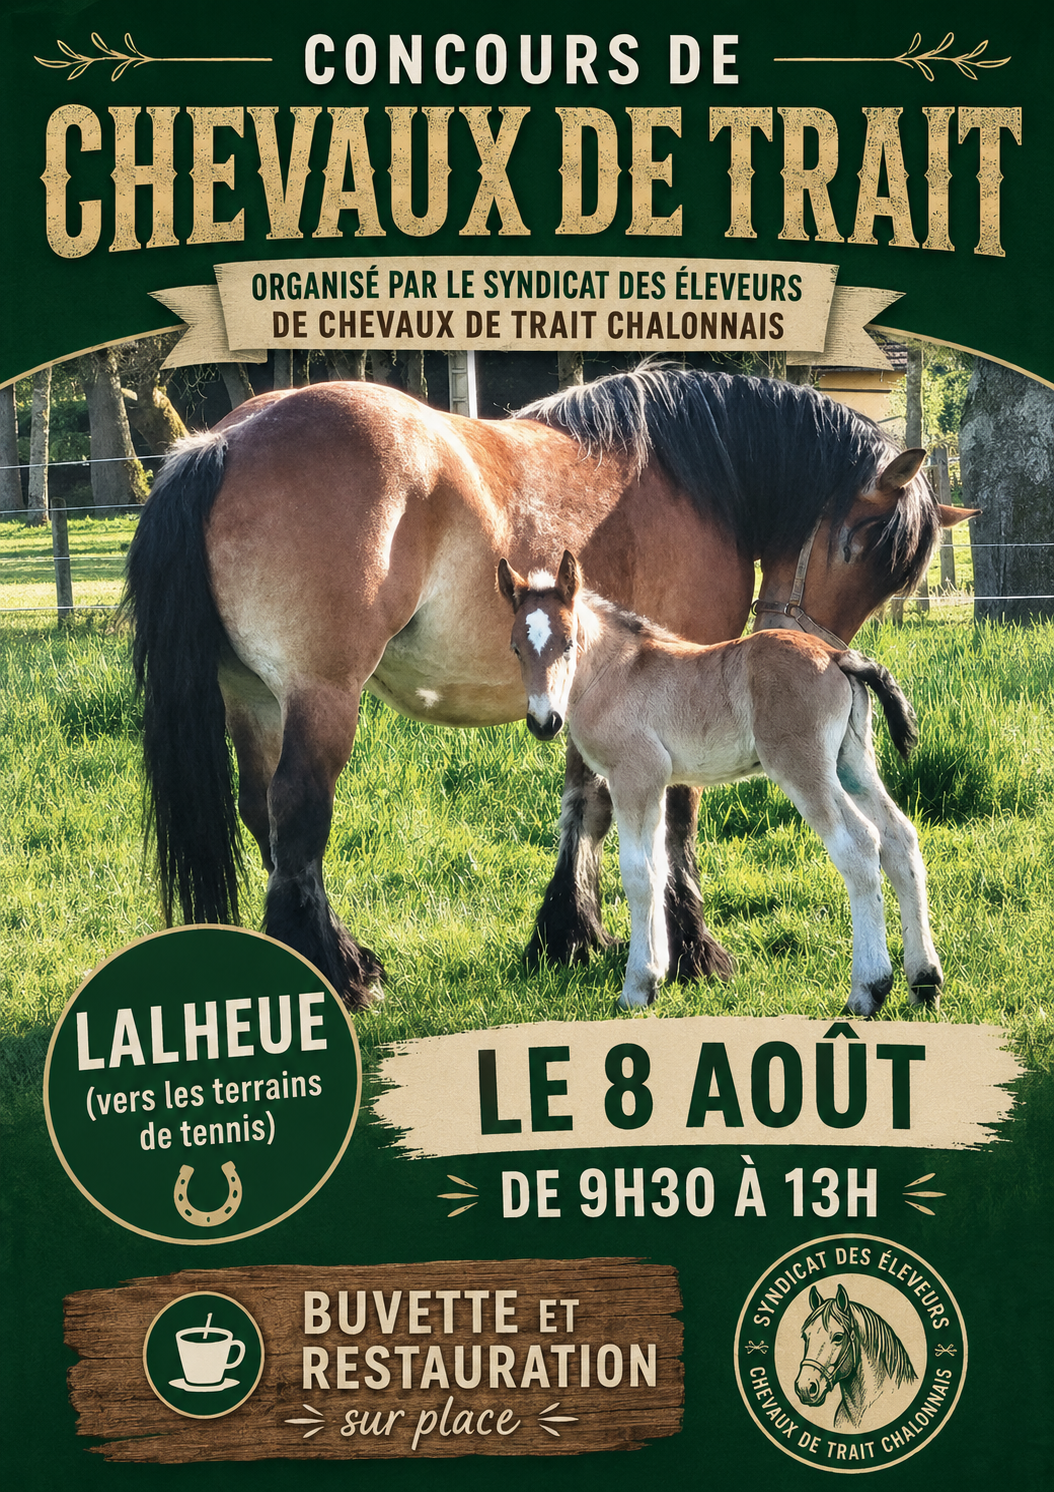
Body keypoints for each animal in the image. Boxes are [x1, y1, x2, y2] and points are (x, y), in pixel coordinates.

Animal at [498, 551, 941, 1016]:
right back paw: (925, 981)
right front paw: (658, 974)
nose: (544, 721)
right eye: (516, 649)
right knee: (899, 838)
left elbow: (638, 873)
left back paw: (868, 989)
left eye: (568, 644)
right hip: (851, 763)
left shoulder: (635, 774)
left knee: (859, 845)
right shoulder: (657, 783)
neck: (614, 673)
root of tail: (838, 656)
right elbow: (658, 867)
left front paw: (637, 986)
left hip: (803, 767)